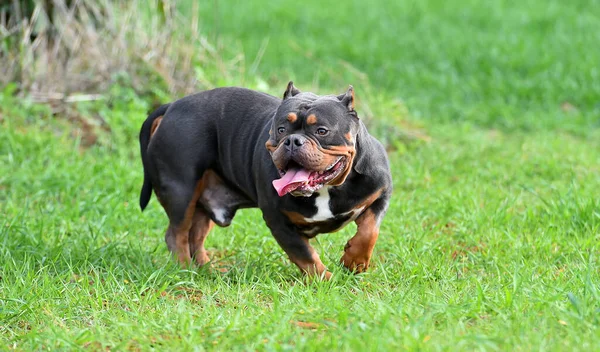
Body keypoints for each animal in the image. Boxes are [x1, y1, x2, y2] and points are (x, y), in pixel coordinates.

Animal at [140, 82, 394, 278]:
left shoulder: (380, 193)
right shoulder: (278, 220)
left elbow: (369, 231)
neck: (327, 190)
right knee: (177, 235)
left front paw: (354, 261)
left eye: (321, 131)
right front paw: (326, 280)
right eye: (281, 129)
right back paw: (186, 271)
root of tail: (172, 106)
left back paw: (206, 270)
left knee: (195, 236)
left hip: (200, 201)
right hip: (181, 191)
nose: (292, 140)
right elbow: (305, 255)